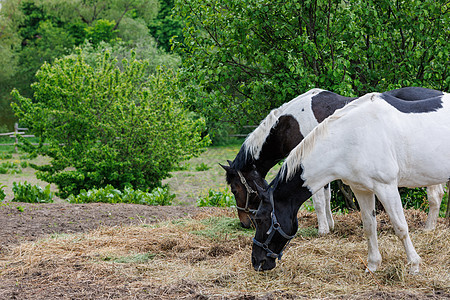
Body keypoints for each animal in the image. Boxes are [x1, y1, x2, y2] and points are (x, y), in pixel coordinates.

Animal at [223, 86, 444, 232]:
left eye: (234, 189)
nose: (245, 223)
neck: (289, 123)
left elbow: (319, 199)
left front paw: (322, 230)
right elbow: (327, 196)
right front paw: (330, 224)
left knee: (434, 196)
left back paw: (428, 229)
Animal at [251, 90, 448, 274]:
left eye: (260, 220)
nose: (256, 262)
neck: (353, 137)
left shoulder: (387, 188)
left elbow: (400, 227)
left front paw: (414, 265)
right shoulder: (362, 190)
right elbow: (369, 226)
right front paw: (373, 265)